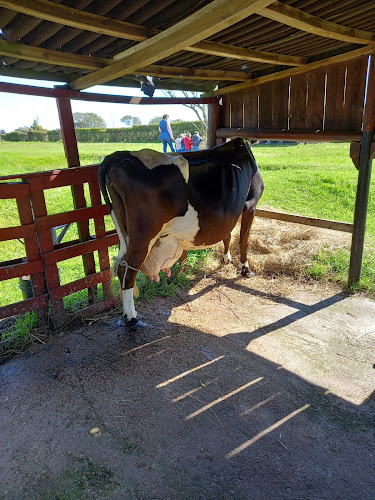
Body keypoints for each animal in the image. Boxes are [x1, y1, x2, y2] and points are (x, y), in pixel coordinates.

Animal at [98, 137, 266, 328]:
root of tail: (118, 155)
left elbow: (228, 234)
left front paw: (226, 258)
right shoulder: (250, 203)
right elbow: (244, 239)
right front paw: (246, 270)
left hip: (124, 232)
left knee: (121, 266)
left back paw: (127, 314)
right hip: (143, 237)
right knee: (127, 271)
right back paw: (132, 318)